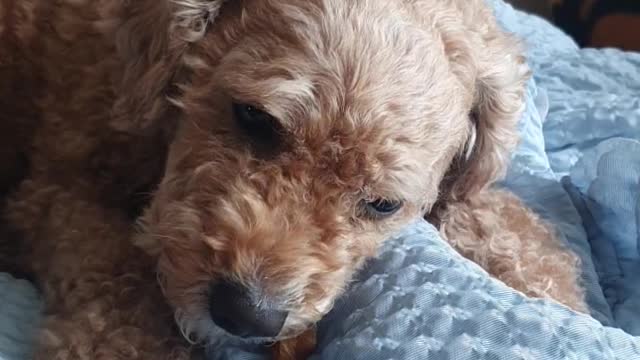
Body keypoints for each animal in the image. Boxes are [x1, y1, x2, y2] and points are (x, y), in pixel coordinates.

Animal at [0, 0, 588, 358]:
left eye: (383, 205)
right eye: (254, 118)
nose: (246, 316)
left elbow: (491, 214)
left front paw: (556, 294)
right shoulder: (57, 191)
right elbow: (113, 273)